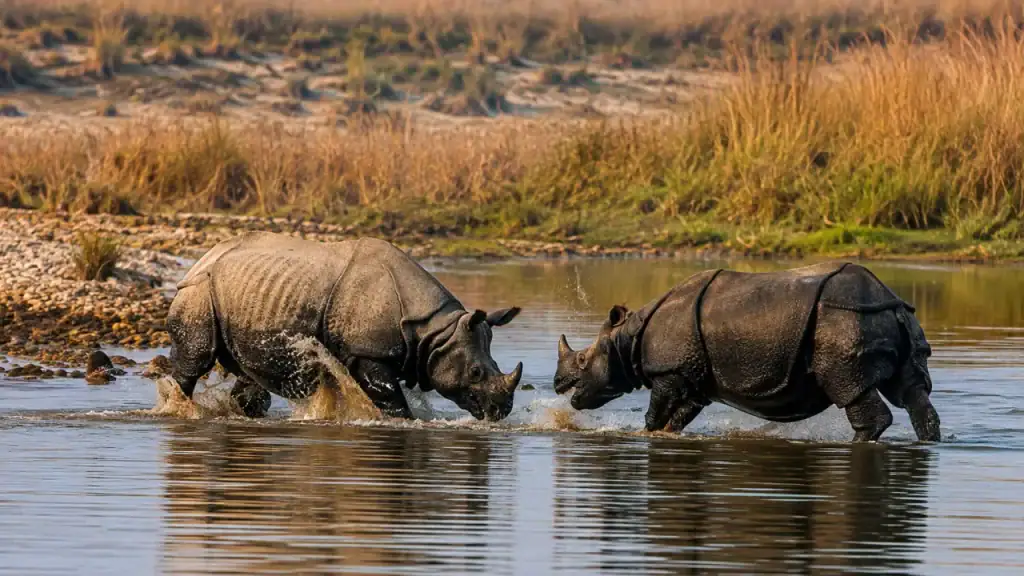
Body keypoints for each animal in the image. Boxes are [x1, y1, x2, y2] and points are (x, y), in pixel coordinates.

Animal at [166, 232, 523, 421]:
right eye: (475, 372)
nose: (502, 410)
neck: (436, 332)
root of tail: (201, 259)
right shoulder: (367, 352)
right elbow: (389, 395)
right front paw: (403, 420)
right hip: (199, 291)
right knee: (195, 360)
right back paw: (178, 406)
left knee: (248, 372)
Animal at [553, 262, 941, 442]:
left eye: (583, 361)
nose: (558, 383)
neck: (628, 337)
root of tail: (888, 299)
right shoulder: (693, 378)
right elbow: (678, 417)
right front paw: (664, 434)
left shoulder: (670, 371)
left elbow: (656, 412)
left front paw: (643, 434)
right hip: (888, 316)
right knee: (912, 391)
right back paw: (930, 440)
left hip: (844, 320)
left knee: (849, 386)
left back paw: (856, 442)